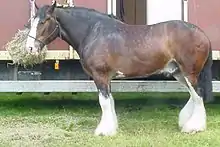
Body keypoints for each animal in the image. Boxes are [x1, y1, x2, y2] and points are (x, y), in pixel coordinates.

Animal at [24, 1, 212, 136]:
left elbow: (104, 102)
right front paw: (112, 127)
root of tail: (201, 33)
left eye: (43, 22)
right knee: (194, 95)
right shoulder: (107, 78)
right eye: (31, 23)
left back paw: (194, 127)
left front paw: (103, 131)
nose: (29, 48)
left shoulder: (100, 76)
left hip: (189, 72)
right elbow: (110, 101)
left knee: (198, 95)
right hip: (179, 73)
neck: (93, 32)